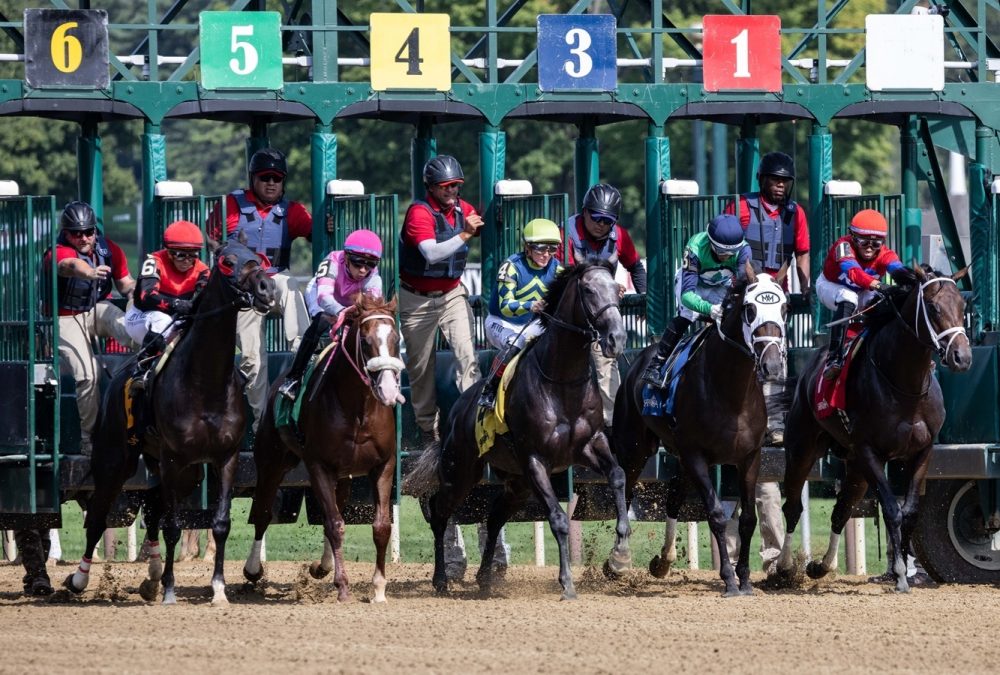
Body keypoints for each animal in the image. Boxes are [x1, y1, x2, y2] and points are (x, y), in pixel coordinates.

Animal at [64, 240, 276, 604]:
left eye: (257, 257)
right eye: (228, 261)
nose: (265, 288)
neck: (205, 381)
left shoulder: (226, 458)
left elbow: (219, 523)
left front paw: (218, 588)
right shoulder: (173, 457)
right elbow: (174, 526)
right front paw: (171, 591)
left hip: (179, 470)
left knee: (153, 508)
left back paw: (151, 574)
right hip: (116, 459)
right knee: (98, 516)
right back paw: (79, 579)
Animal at [244, 296, 404, 604]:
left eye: (396, 338)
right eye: (365, 341)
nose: (389, 390)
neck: (358, 409)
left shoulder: (384, 465)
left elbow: (380, 527)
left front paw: (378, 588)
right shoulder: (318, 466)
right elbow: (335, 525)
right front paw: (342, 586)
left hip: (343, 476)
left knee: (336, 506)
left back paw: (323, 566)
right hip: (271, 461)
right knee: (263, 513)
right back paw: (253, 568)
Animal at [400, 262, 620, 600]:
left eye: (618, 289)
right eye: (588, 290)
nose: (616, 338)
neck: (562, 380)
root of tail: (455, 411)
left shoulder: (589, 445)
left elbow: (618, 476)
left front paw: (621, 551)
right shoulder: (535, 459)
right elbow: (558, 518)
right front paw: (567, 583)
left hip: (517, 483)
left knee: (493, 518)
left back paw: (484, 578)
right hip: (461, 470)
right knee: (439, 512)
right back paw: (440, 580)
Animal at [608, 270, 788, 596]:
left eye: (784, 308)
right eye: (750, 309)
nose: (770, 365)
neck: (731, 393)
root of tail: (637, 361)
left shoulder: (749, 457)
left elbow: (747, 519)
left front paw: (745, 579)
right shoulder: (697, 455)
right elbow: (716, 514)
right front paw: (729, 579)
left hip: (679, 456)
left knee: (673, 498)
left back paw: (663, 561)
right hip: (635, 448)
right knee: (625, 492)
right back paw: (617, 560)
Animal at [772, 264, 968, 592]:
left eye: (964, 306)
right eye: (933, 307)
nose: (962, 357)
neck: (905, 386)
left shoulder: (922, 452)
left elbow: (909, 512)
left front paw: (904, 571)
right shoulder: (869, 450)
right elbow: (891, 509)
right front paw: (899, 573)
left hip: (855, 467)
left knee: (840, 511)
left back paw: (821, 567)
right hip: (802, 449)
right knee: (793, 507)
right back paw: (784, 568)